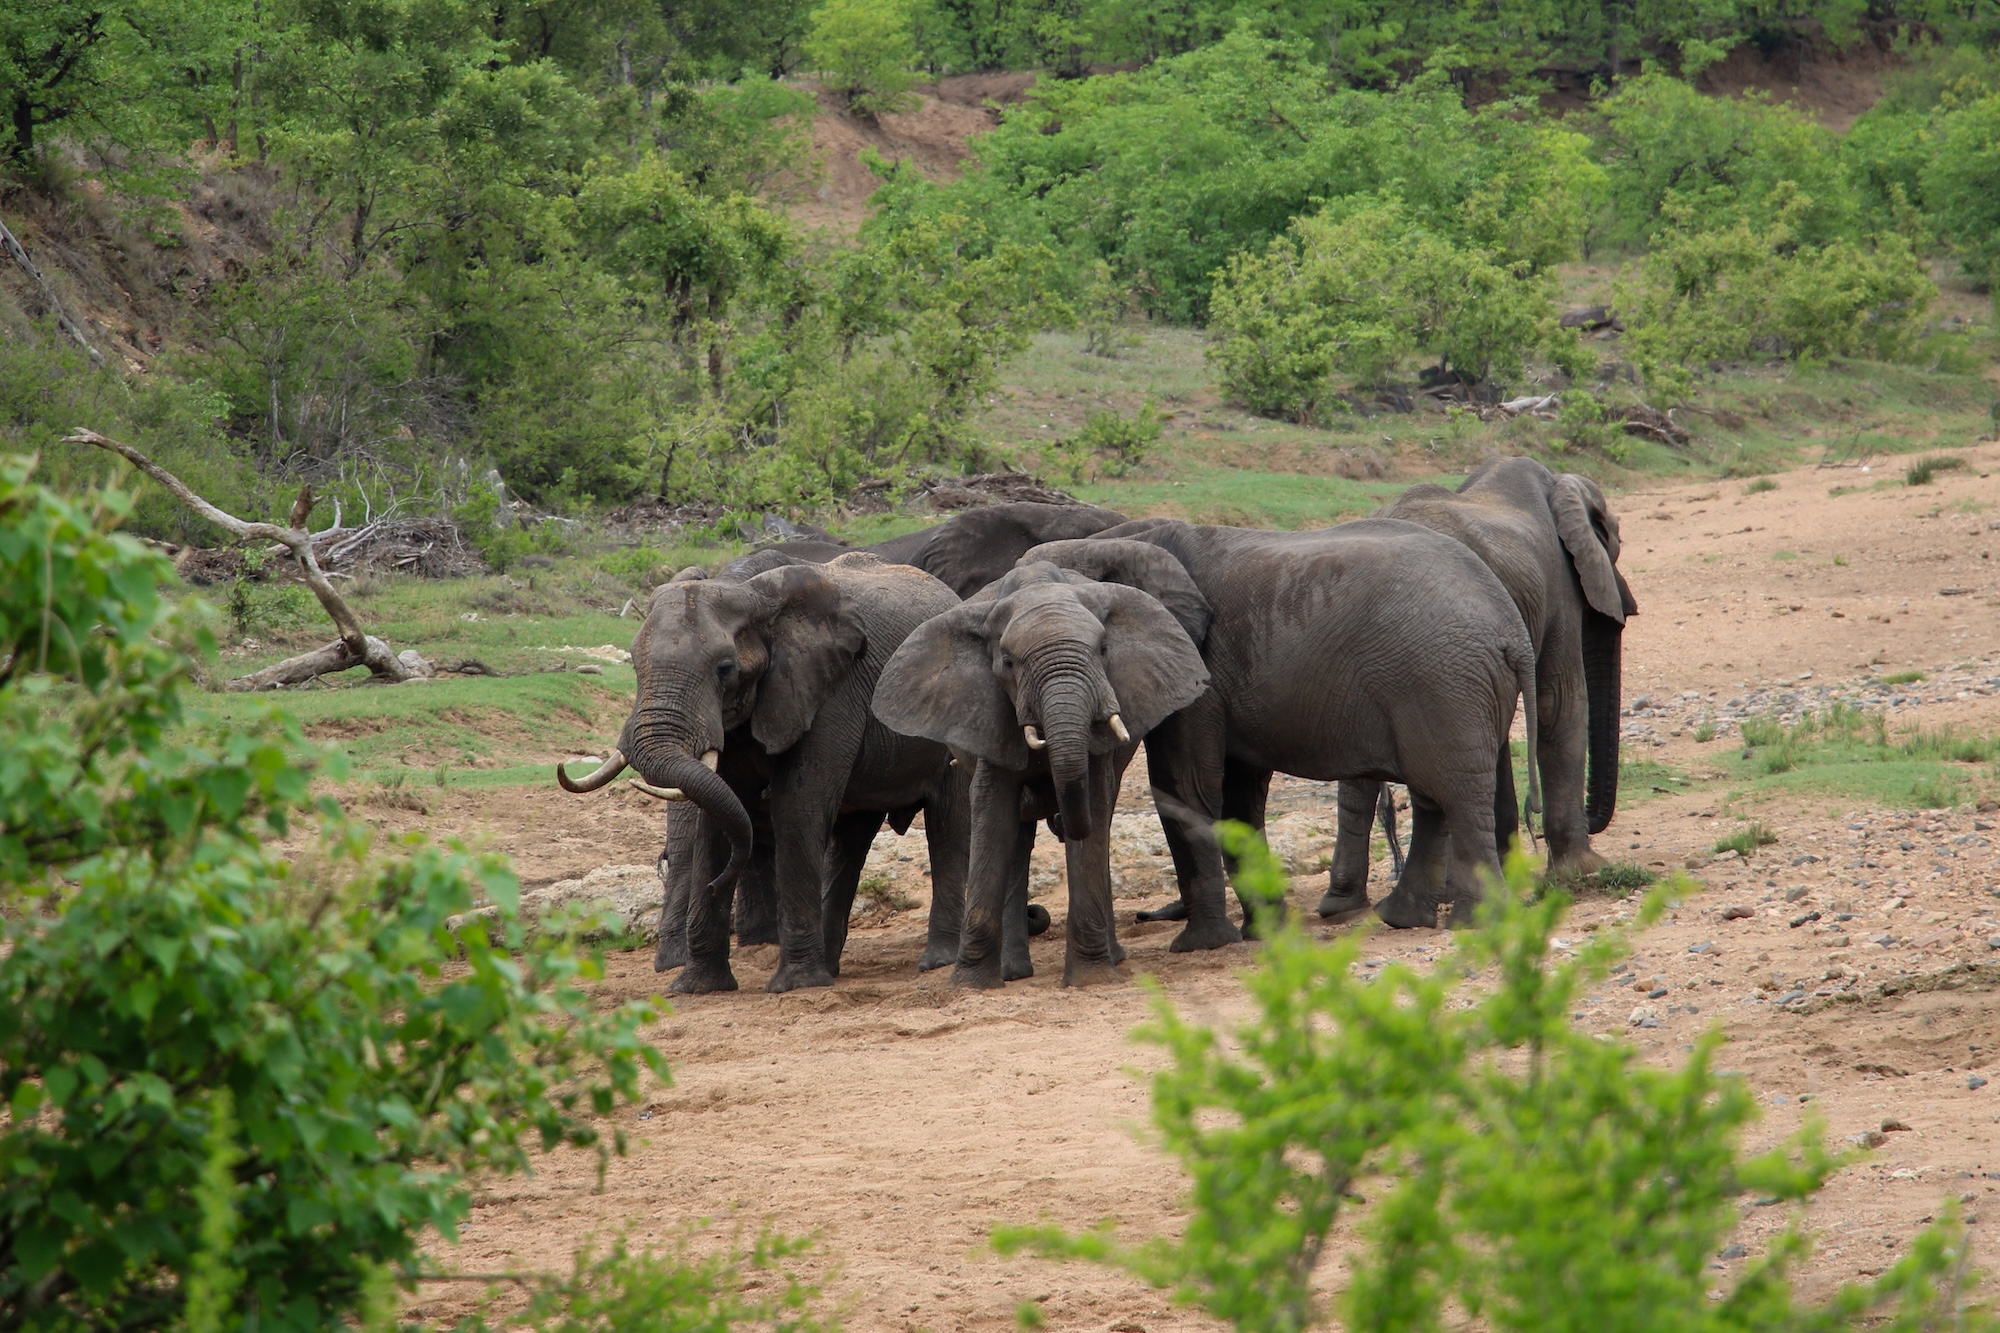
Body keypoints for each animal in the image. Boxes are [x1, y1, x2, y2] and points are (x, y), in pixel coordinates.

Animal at [560, 544, 972, 992]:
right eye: (634, 663)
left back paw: (937, 961)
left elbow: (797, 806)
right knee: (851, 838)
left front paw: (795, 985)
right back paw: (830, 968)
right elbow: (717, 811)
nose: (717, 882)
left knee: (947, 825)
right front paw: (697, 987)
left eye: (725, 669)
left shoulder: (829, 689)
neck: (749, 593)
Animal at [876, 556, 1216, 980]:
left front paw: (1091, 979)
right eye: (1007, 663)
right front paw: (970, 984)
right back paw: (1012, 972)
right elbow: (993, 812)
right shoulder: (986, 712)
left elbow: (1094, 807)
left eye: (1104, 649)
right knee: (1017, 836)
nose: (1058, 817)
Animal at [1040, 512, 1536, 928]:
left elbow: (1185, 786)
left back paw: (1473, 924)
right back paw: (1401, 919)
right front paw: (1264, 930)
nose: (1061, 822)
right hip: (1447, 687)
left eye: (1099, 646)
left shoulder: (1199, 666)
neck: (1115, 543)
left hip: (1441, 682)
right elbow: (1239, 795)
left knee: (1457, 794)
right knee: (1434, 796)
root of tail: (1512, 629)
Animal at [1320, 456, 1632, 912]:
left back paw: (1344, 904)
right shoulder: (1556, 586)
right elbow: (1559, 703)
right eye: (1615, 542)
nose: (1535, 826)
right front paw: (1582, 871)